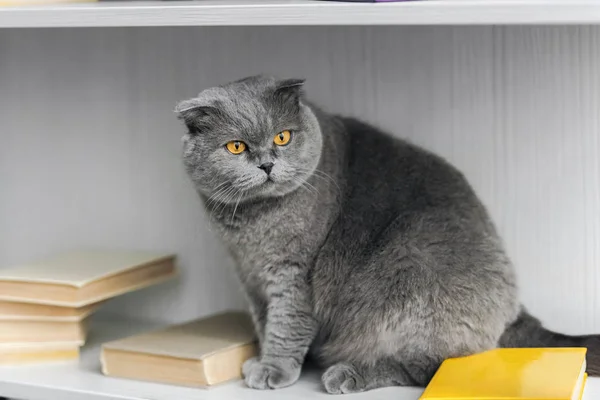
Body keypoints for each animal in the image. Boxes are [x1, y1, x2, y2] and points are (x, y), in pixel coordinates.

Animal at [175, 76, 600, 394]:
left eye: (283, 137)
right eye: (236, 147)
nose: (266, 164)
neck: (252, 227)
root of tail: (517, 311)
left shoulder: (293, 274)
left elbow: (287, 322)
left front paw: (274, 369)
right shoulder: (250, 277)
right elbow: (265, 323)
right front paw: (263, 359)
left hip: (410, 272)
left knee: (426, 367)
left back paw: (347, 373)